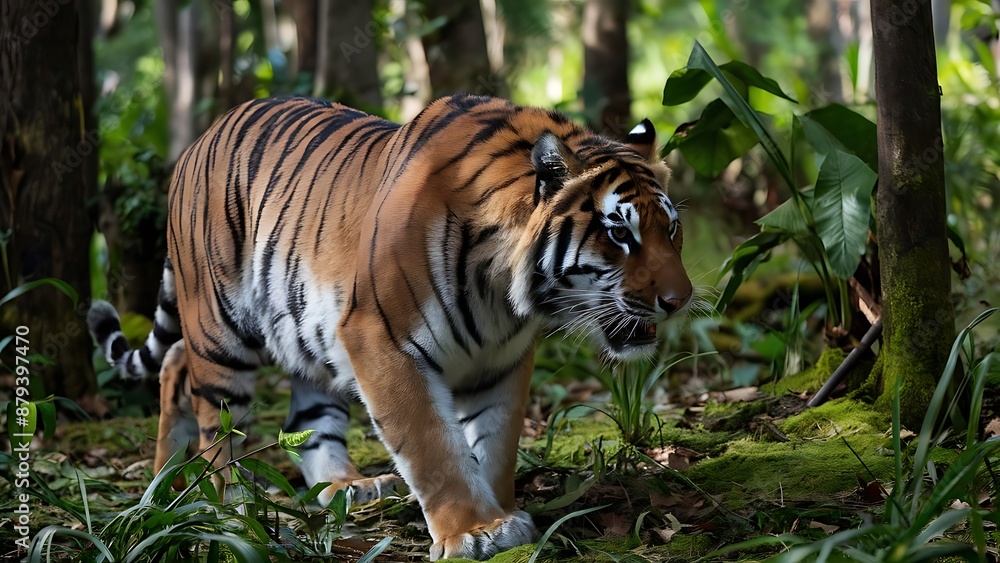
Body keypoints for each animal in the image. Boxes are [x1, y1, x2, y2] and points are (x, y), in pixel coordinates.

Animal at [87, 94, 693, 561]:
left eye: (672, 230)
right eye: (619, 235)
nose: (679, 301)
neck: (502, 291)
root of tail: (198, 140)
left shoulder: (499, 362)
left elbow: (495, 443)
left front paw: (503, 514)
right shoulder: (380, 338)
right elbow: (432, 445)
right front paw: (474, 532)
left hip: (305, 327)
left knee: (265, 399)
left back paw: (331, 487)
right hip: (221, 323)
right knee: (210, 409)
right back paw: (219, 504)